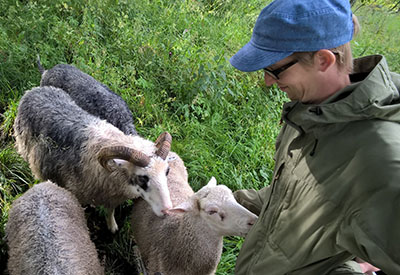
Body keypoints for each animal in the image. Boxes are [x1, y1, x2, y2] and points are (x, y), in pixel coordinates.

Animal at [13, 87, 173, 234]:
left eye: (167, 171)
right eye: (142, 178)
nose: (167, 210)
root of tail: (33, 91)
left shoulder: (111, 195)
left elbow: (110, 210)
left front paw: (112, 226)